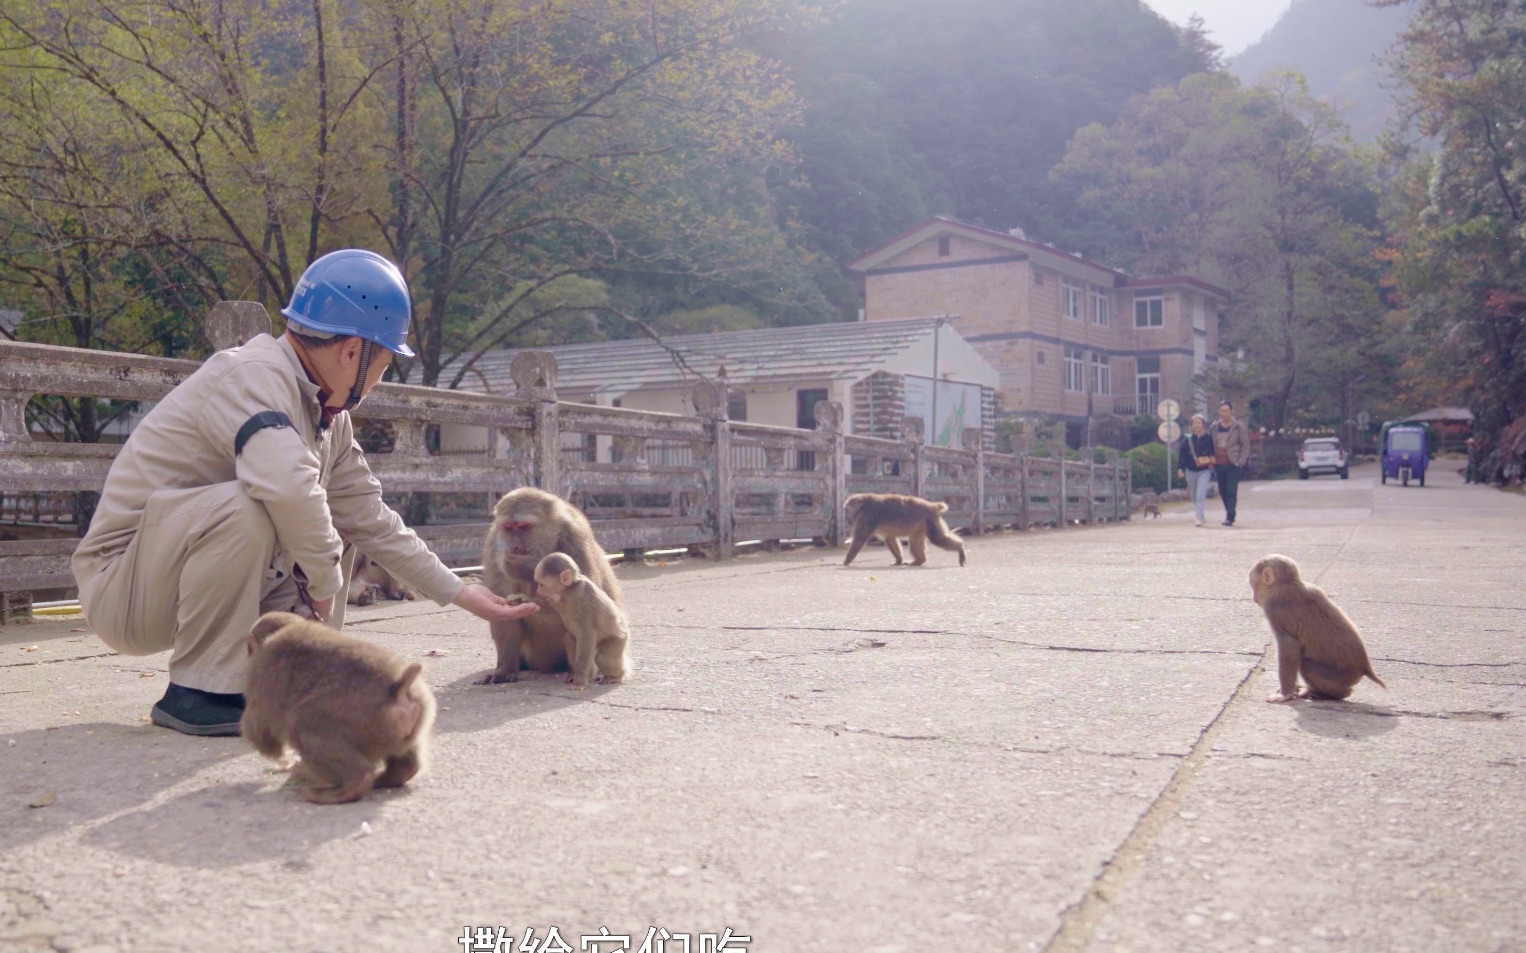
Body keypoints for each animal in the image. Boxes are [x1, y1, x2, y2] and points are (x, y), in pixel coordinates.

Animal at [238, 609, 439, 805]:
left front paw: (282, 758)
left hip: (361, 717)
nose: (247, 654)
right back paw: (393, 775)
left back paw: (348, 787)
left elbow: (258, 728)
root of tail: (397, 689)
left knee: (304, 723)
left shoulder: (261, 669)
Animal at [537, 548, 631, 692]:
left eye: (541, 584)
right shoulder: (557, 599)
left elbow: (587, 634)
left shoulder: (578, 599)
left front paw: (580, 680)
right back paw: (588, 675)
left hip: (619, 637)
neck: (569, 589)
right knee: (570, 639)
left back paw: (617, 676)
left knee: (602, 657)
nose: (538, 591)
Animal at [842, 490, 970, 564]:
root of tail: (932, 505)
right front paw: (898, 560)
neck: (863, 506)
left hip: (930, 520)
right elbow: (890, 538)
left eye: (848, 509)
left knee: (937, 538)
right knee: (915, 542)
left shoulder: (868, 516)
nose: (847, 517)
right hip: (923, 525)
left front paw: (846, 561)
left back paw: (960, 548)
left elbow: (860, 539)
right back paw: (919, 561)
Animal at [1245, 555, 1391, 701]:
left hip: (1337, 676)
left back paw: (1328, 693)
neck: (1287, 585)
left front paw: (1285, 694)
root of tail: (1365, 668)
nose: (1254, 598)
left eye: (1252, 584)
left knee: (1306, 665)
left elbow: (1289, 646)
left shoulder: (1276, 611)